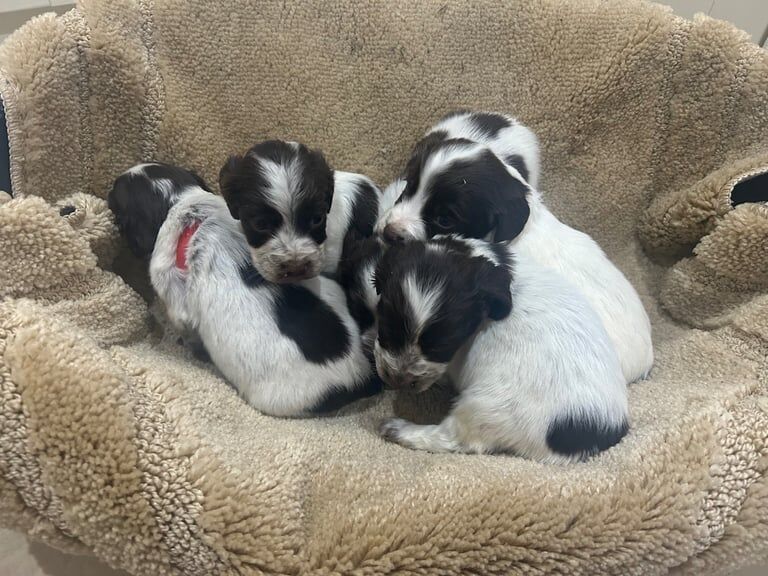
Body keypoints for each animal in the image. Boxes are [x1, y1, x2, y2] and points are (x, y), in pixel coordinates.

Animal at [372, 234, 632, 464]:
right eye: (386, 329)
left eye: (442, 346)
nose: (397, 380)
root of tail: (587, 439)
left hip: (485, 405)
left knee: (451, 438)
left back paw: (399, 429)